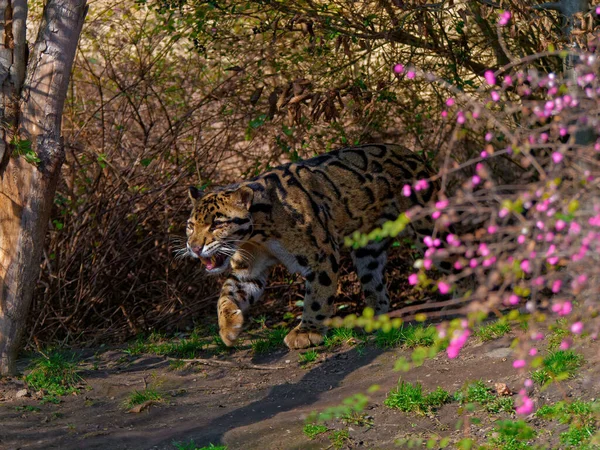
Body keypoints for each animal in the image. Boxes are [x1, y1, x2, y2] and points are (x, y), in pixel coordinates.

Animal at [185, 143, 438, 348]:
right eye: (190, 226)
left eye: (217, 224)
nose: (194, 247)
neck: (257, 234)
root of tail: (412, 153)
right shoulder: (249, 271)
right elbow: (226, 293)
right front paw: (228, 327)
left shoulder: (321, 255)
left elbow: (318, 294)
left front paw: (307, 332)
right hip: (368, 249)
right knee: (377, 286)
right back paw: (373, 318)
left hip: (427, 227)